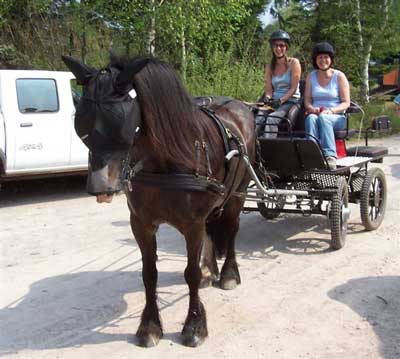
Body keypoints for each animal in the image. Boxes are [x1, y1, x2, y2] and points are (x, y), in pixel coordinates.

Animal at [62, 54, 256, 348]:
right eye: (81, 123)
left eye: (122, 123)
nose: (99, 187)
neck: (162, 163)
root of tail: (240, 107)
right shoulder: (141, 223)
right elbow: (149, 274)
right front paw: (150, 326)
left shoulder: (192, 224)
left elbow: (190, 273)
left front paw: (194, 326)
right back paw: (210, 270)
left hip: (238, 194)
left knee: (231, 230)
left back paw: (229, 274)